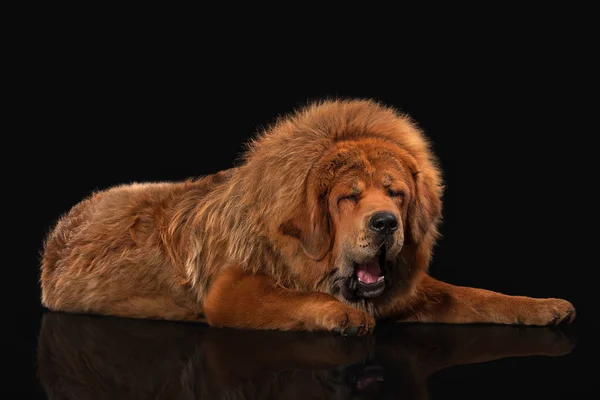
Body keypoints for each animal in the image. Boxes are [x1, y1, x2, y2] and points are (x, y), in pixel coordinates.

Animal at [39, 99, 576, 334]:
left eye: (395, 194)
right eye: (348, 198)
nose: (386, 223)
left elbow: (479, 295)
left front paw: (542, 306)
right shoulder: (230, 292)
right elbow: (294, 298)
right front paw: (345, 317)